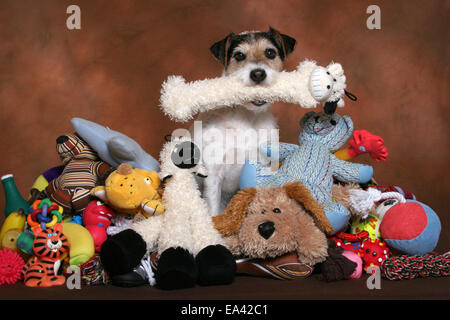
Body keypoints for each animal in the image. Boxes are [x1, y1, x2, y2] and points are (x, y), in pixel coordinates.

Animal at [195, 27, 298, 216]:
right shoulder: (214, 174)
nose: (258, 74)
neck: (246, 117)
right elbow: (213, 210)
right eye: (239, 55)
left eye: (270, 52)